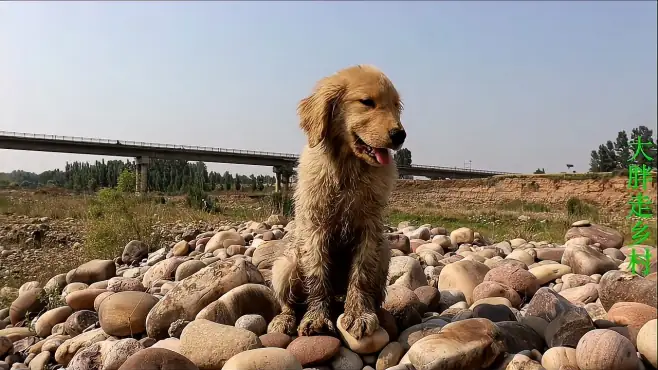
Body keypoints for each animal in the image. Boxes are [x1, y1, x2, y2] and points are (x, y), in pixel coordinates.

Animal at [266, 65, 404, 340]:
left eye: (396, 106)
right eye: (367, 102)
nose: (400, 135)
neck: (348, 168)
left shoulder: (369, 228)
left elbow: (360, 275)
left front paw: (359, 313)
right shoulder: (316, 228)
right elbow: (318, 277)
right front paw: (317, 317)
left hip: (384, 251)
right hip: (286, 264)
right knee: (289, 302)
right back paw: (283, 319)